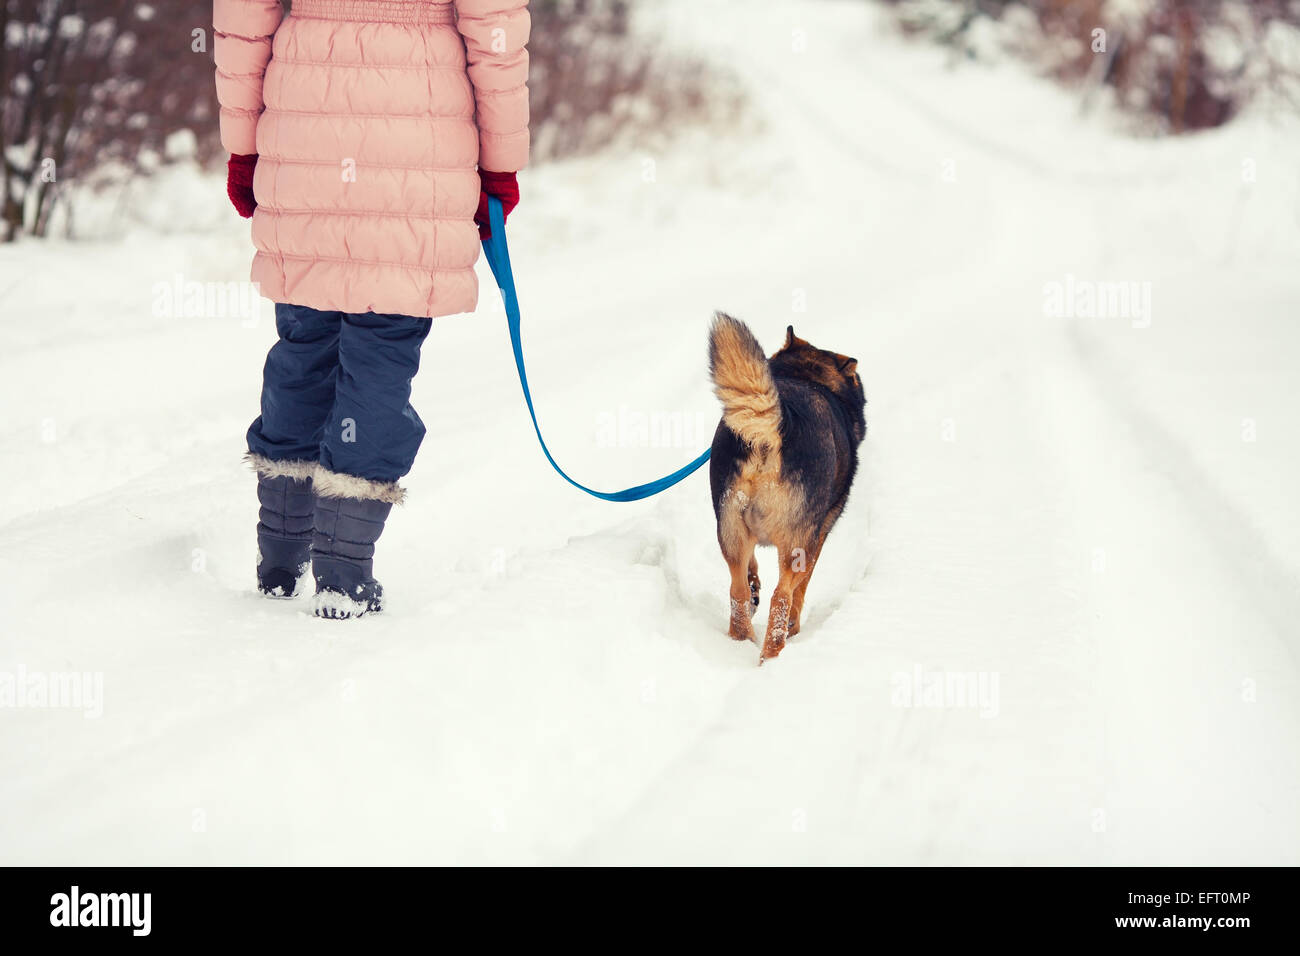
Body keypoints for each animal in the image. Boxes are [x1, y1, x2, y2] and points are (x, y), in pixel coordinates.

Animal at [712, 317, 863, 660]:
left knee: (737, 589)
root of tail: (779, 426)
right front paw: (794, 628)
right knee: (781, 596)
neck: (805, 375)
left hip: (729, 525)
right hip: (798, 540)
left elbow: (752, 569)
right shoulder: (818, 536)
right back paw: (772, 653)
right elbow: (801, 587)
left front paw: (755, 585)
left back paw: (741, 637)